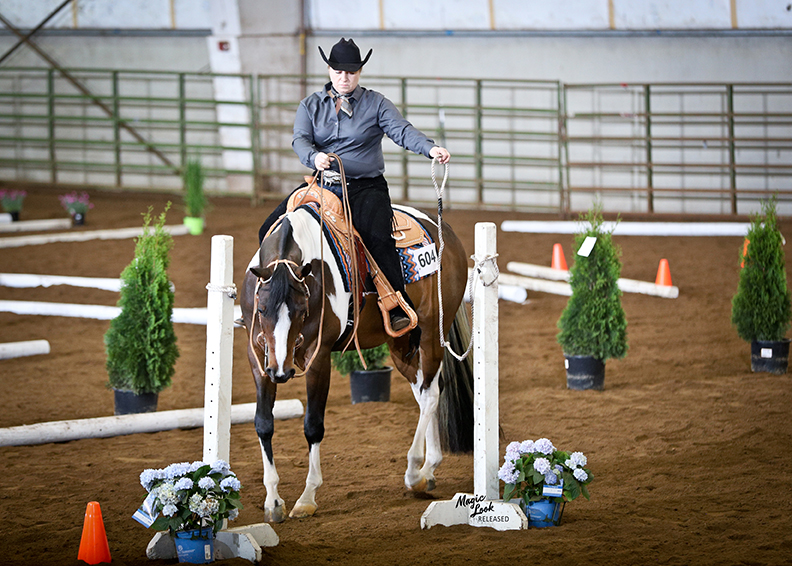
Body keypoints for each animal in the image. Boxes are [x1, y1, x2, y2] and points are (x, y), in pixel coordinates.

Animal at [240, 200, 473, 522]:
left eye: (301, 310)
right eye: (261, 309)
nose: (281, 372)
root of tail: (444, 230)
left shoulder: (318, 357)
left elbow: (313, 425)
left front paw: (307, 498)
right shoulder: (258, 357)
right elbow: (263, 423)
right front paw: (273, 501)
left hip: (429, 335)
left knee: (430, 396)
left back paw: (415, 472)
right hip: (401, 345)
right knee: (426, 392)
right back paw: (428, 471)